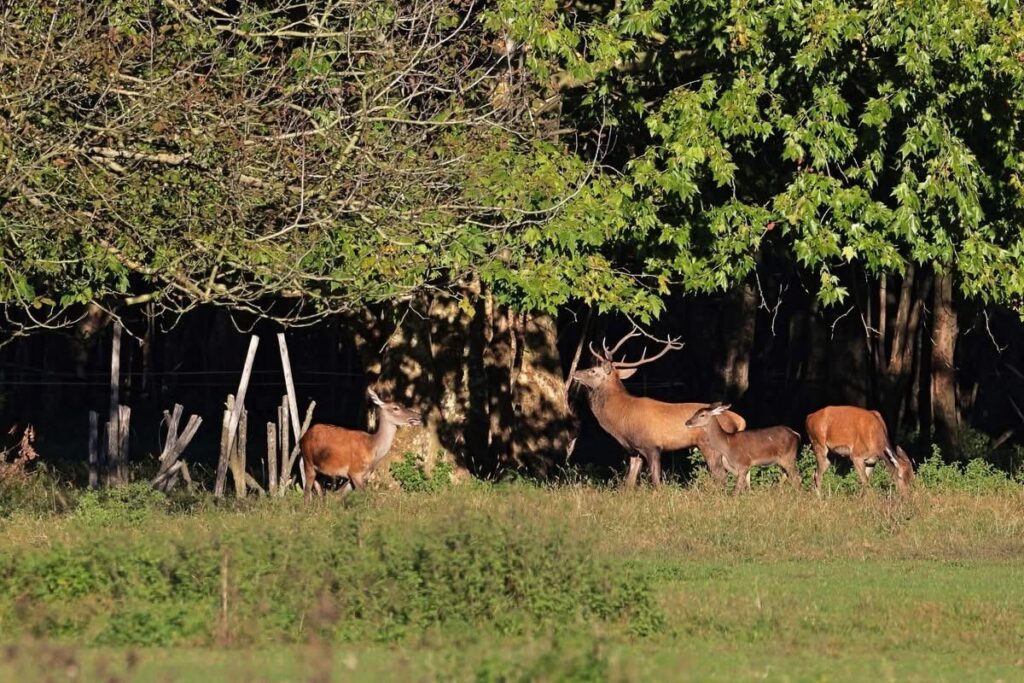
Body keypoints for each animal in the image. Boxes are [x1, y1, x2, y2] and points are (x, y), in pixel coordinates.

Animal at [570, 326, 747, 487]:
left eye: (593, 370)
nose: (575, 373)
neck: (621, 419)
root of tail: (739, 420)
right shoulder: (635, 451)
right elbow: (628, 484)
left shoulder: (652, 446)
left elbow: (656, 482)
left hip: (710, 445)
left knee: (720, 476)